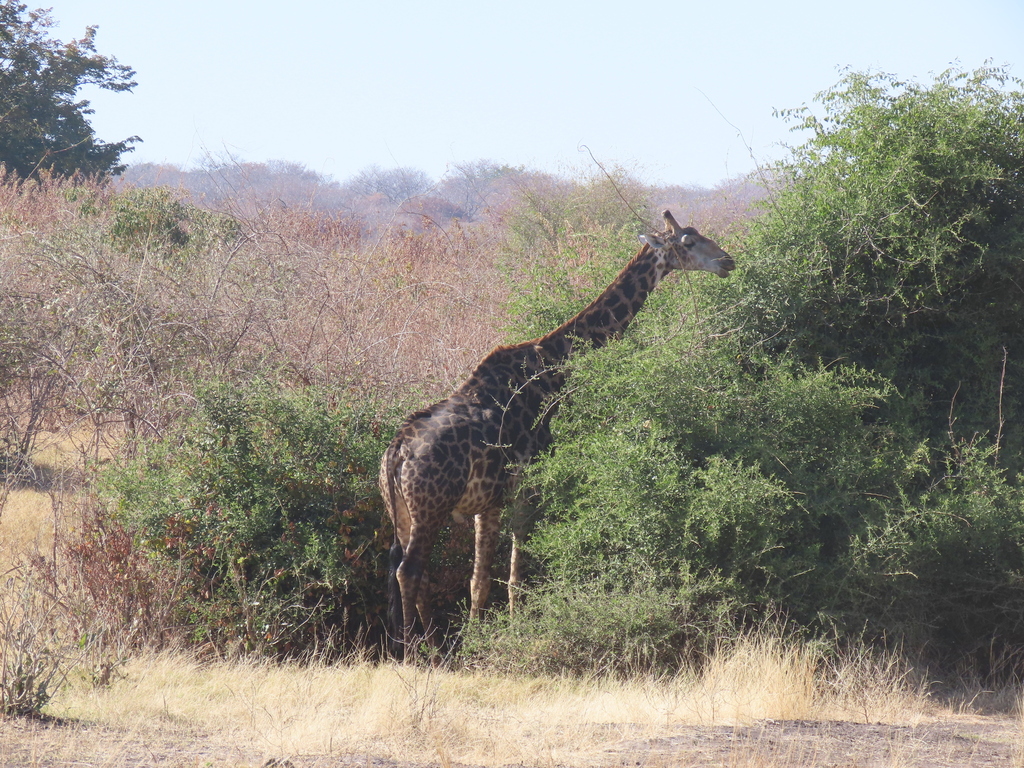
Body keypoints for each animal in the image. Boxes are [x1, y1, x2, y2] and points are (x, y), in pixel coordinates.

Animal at [379, 210, 735, 659]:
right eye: (688, 242)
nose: (727, 262)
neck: (554, 372)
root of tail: (395, 453)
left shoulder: (488, 501)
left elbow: (484, 580)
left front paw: (480, 641)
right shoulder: (527, 487)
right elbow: (510, 577)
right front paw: (506, 638)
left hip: (404, 512)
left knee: (409, 570)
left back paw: (429, 645)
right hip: (430, 508)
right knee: (409, 571)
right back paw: (415, 651)